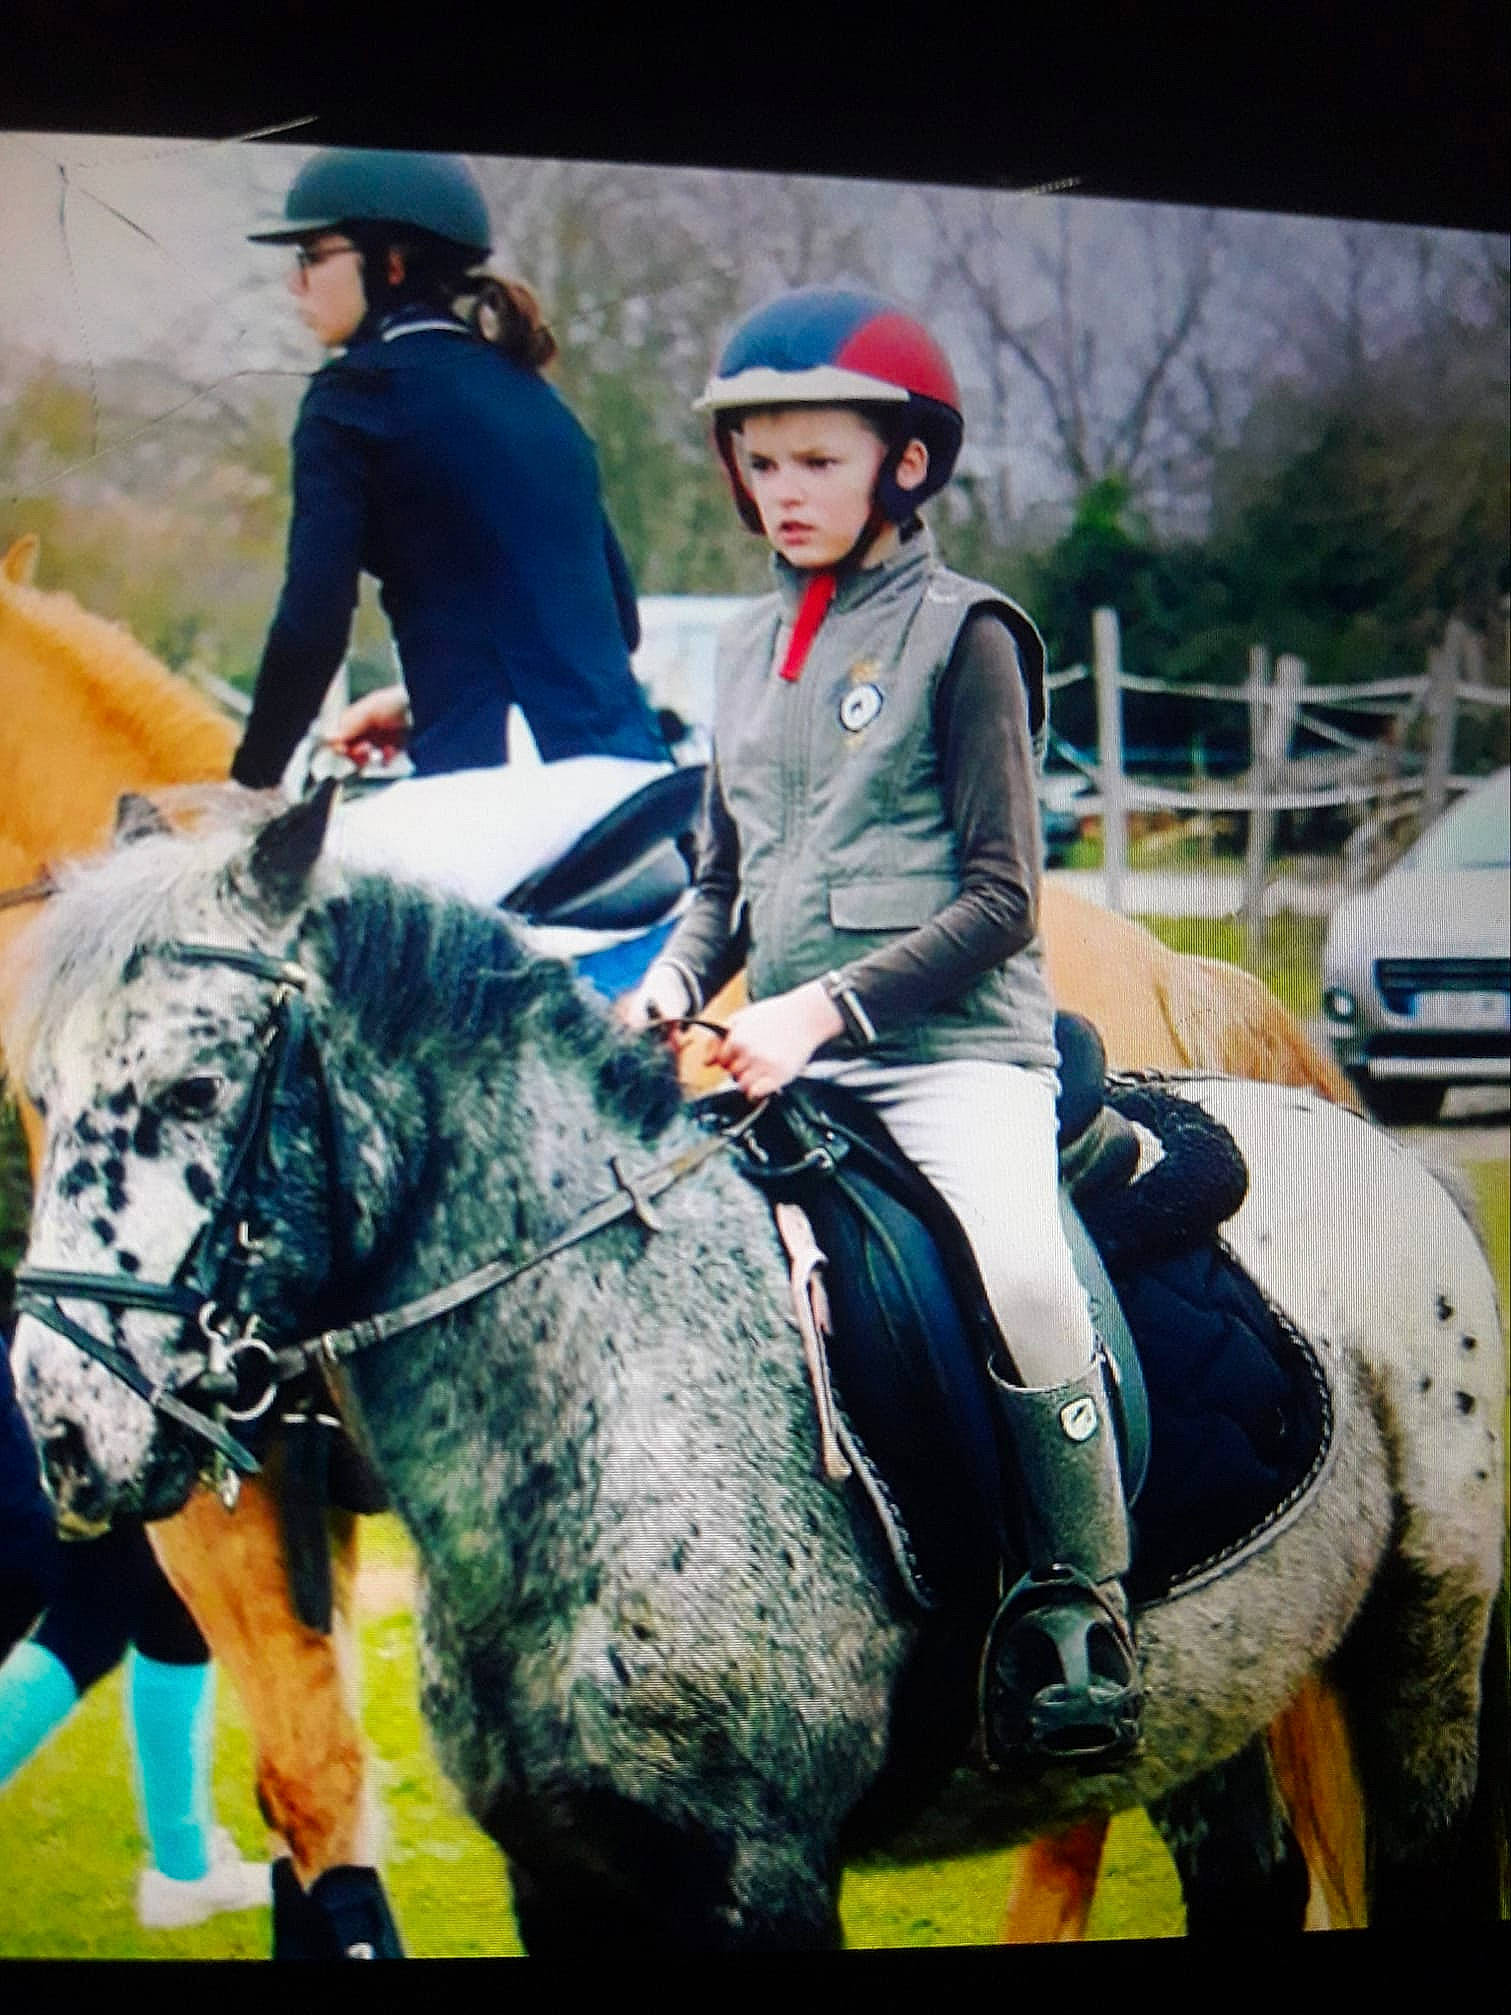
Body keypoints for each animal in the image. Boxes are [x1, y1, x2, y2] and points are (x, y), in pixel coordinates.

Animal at [0, 531, 1413, 1945]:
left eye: (194, 1087)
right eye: (52, 1088)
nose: (56, 1417)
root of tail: (1175, 971)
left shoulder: (210, 1503)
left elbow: (308, 1783)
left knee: (1077, 1809)